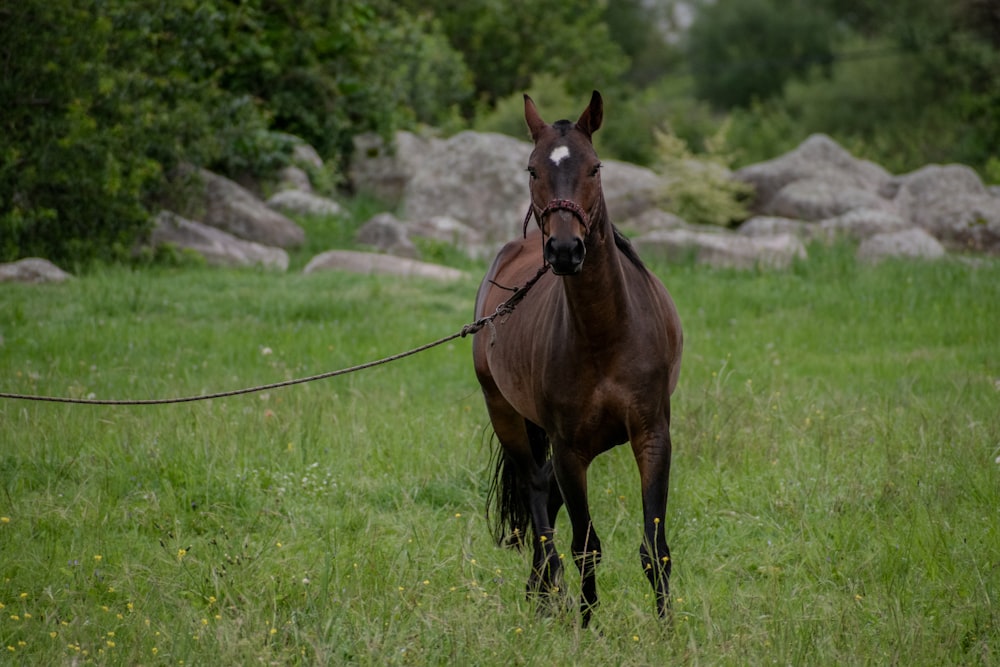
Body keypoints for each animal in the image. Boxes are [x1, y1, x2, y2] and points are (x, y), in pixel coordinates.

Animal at [472, 90, 684, 628]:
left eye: (595, 167)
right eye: (532, 169)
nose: (565, 250)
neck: (606, 334)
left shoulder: (652, 435)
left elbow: (655, 546)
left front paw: (667, 626)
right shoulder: (570, 448)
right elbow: (586, 543)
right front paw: (585, 623)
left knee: (544, 492)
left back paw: (540, 590)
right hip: (505, 412)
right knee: (535, 490)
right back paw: (549, 592)